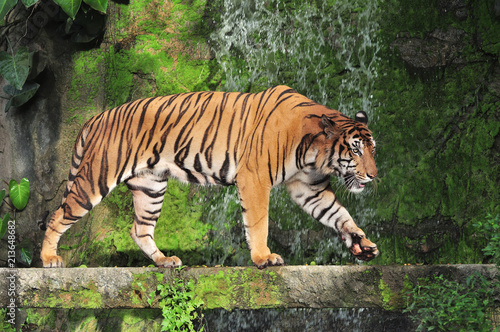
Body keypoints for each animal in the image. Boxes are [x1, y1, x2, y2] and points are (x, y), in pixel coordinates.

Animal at [42, 85, 378, 268]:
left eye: (373, 149)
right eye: (356, 150)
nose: (374, 176)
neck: (314, 153)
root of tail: (98, 116)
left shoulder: (309, 188)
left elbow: (339, 215)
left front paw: (362, 243)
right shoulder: (255, 178)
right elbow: (259, 222)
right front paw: (264, 257)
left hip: (151, 187)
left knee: (139, 229)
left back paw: (165, 261)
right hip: (96, 179)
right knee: (57, 215)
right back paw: (49, 259)